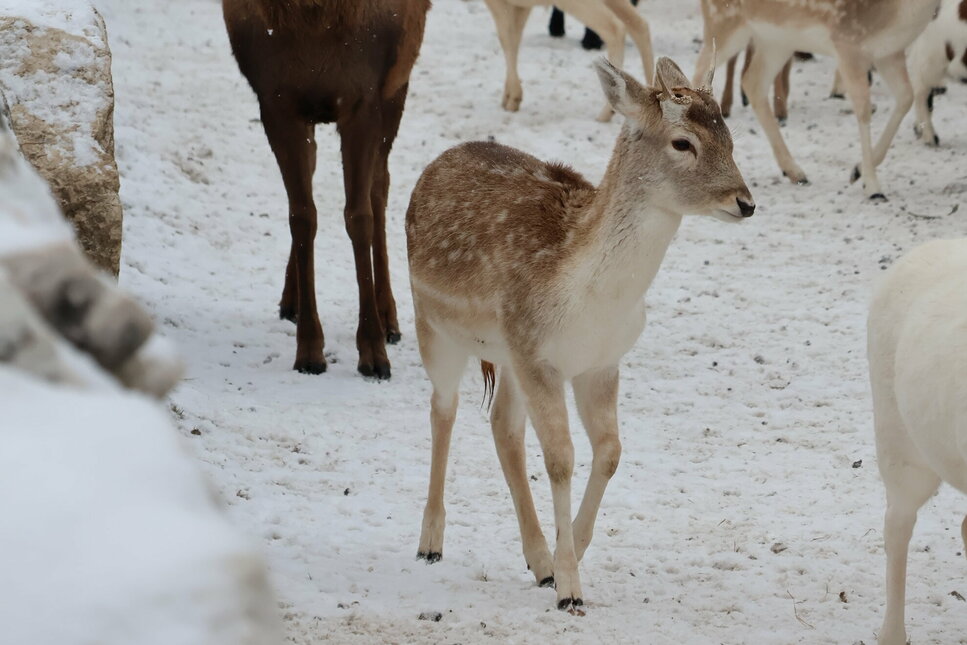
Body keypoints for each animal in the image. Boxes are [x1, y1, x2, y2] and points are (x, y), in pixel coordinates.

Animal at [222, 0, 431, 378]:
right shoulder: (277, 102)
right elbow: (302, 217)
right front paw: (308, 350)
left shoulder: (364, 98)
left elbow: (359, 218)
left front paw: (374, 353)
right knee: (316, 171)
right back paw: (291, 300)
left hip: (397, 88)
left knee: (380, 185)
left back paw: (388, 318)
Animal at [405, 56, 755, 611]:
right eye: (683, 142)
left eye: (730, 137)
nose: (744, 202)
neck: (589, 299)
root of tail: (437, 162)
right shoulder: (538, 354)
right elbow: (560, 459)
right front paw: (570, 589)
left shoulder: (598, 362)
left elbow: (609, 451)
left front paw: (569, 552)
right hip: (432, 324)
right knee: (444, 410)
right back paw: (431, 543)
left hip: (505, 354)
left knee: (502, 427)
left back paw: (538, 560)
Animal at [484, 0, 654, 121]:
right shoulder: (520, 5)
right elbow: (514, 39)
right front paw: (509, 97)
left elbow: (506, 39)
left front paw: (513, 99)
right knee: (639, 24)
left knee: (615, 28)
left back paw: (606, 113)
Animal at [695, 0, 942, 200]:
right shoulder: (847, 43)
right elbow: (863, 110)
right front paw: (873, 186)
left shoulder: (890, 53)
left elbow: (906, 97)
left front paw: (857, 170)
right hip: (723, 22)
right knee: (700, 72)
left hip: (776, 40)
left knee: (753, 82)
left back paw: (794, 171)